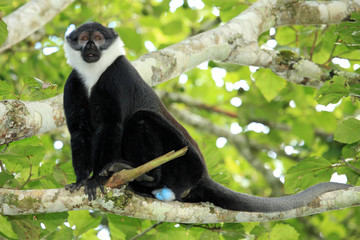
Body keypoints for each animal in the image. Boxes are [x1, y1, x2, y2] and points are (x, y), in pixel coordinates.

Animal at [63, 22, 350, 213]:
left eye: (98, 37)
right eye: (84, 38)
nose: (90, 46)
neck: (94, 74)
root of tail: (203, 176)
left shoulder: (116, 75)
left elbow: (111, 124)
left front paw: (98, 179)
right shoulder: (73, 82)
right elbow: (79, 131)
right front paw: (81, 181)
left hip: (184, 162)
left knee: (142, 118)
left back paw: (143, 176)